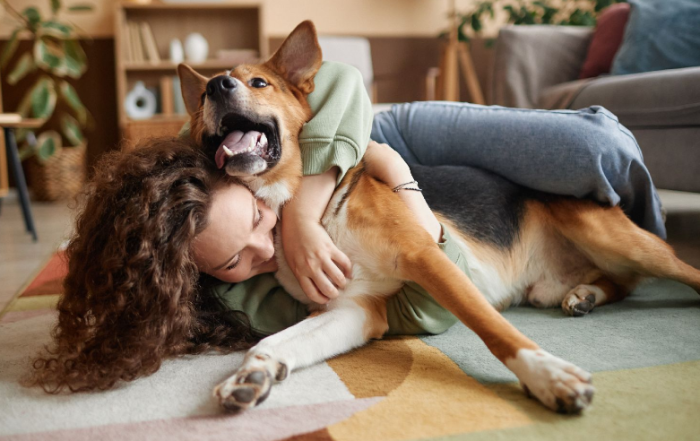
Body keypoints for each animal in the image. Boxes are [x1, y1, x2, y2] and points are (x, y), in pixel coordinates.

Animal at [179, 19, 700, 412]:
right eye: (203, 98)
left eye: (258, 82)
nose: (218, 86)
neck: (303, 211)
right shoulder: (353, 309)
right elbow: (273, 342)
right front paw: (253, 374)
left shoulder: (426, 257)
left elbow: (495, 330)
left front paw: (547, 375)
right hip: (555, 282)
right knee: (619, 283)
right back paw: (586, 295)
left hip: (614, 237)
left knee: (672, 271)